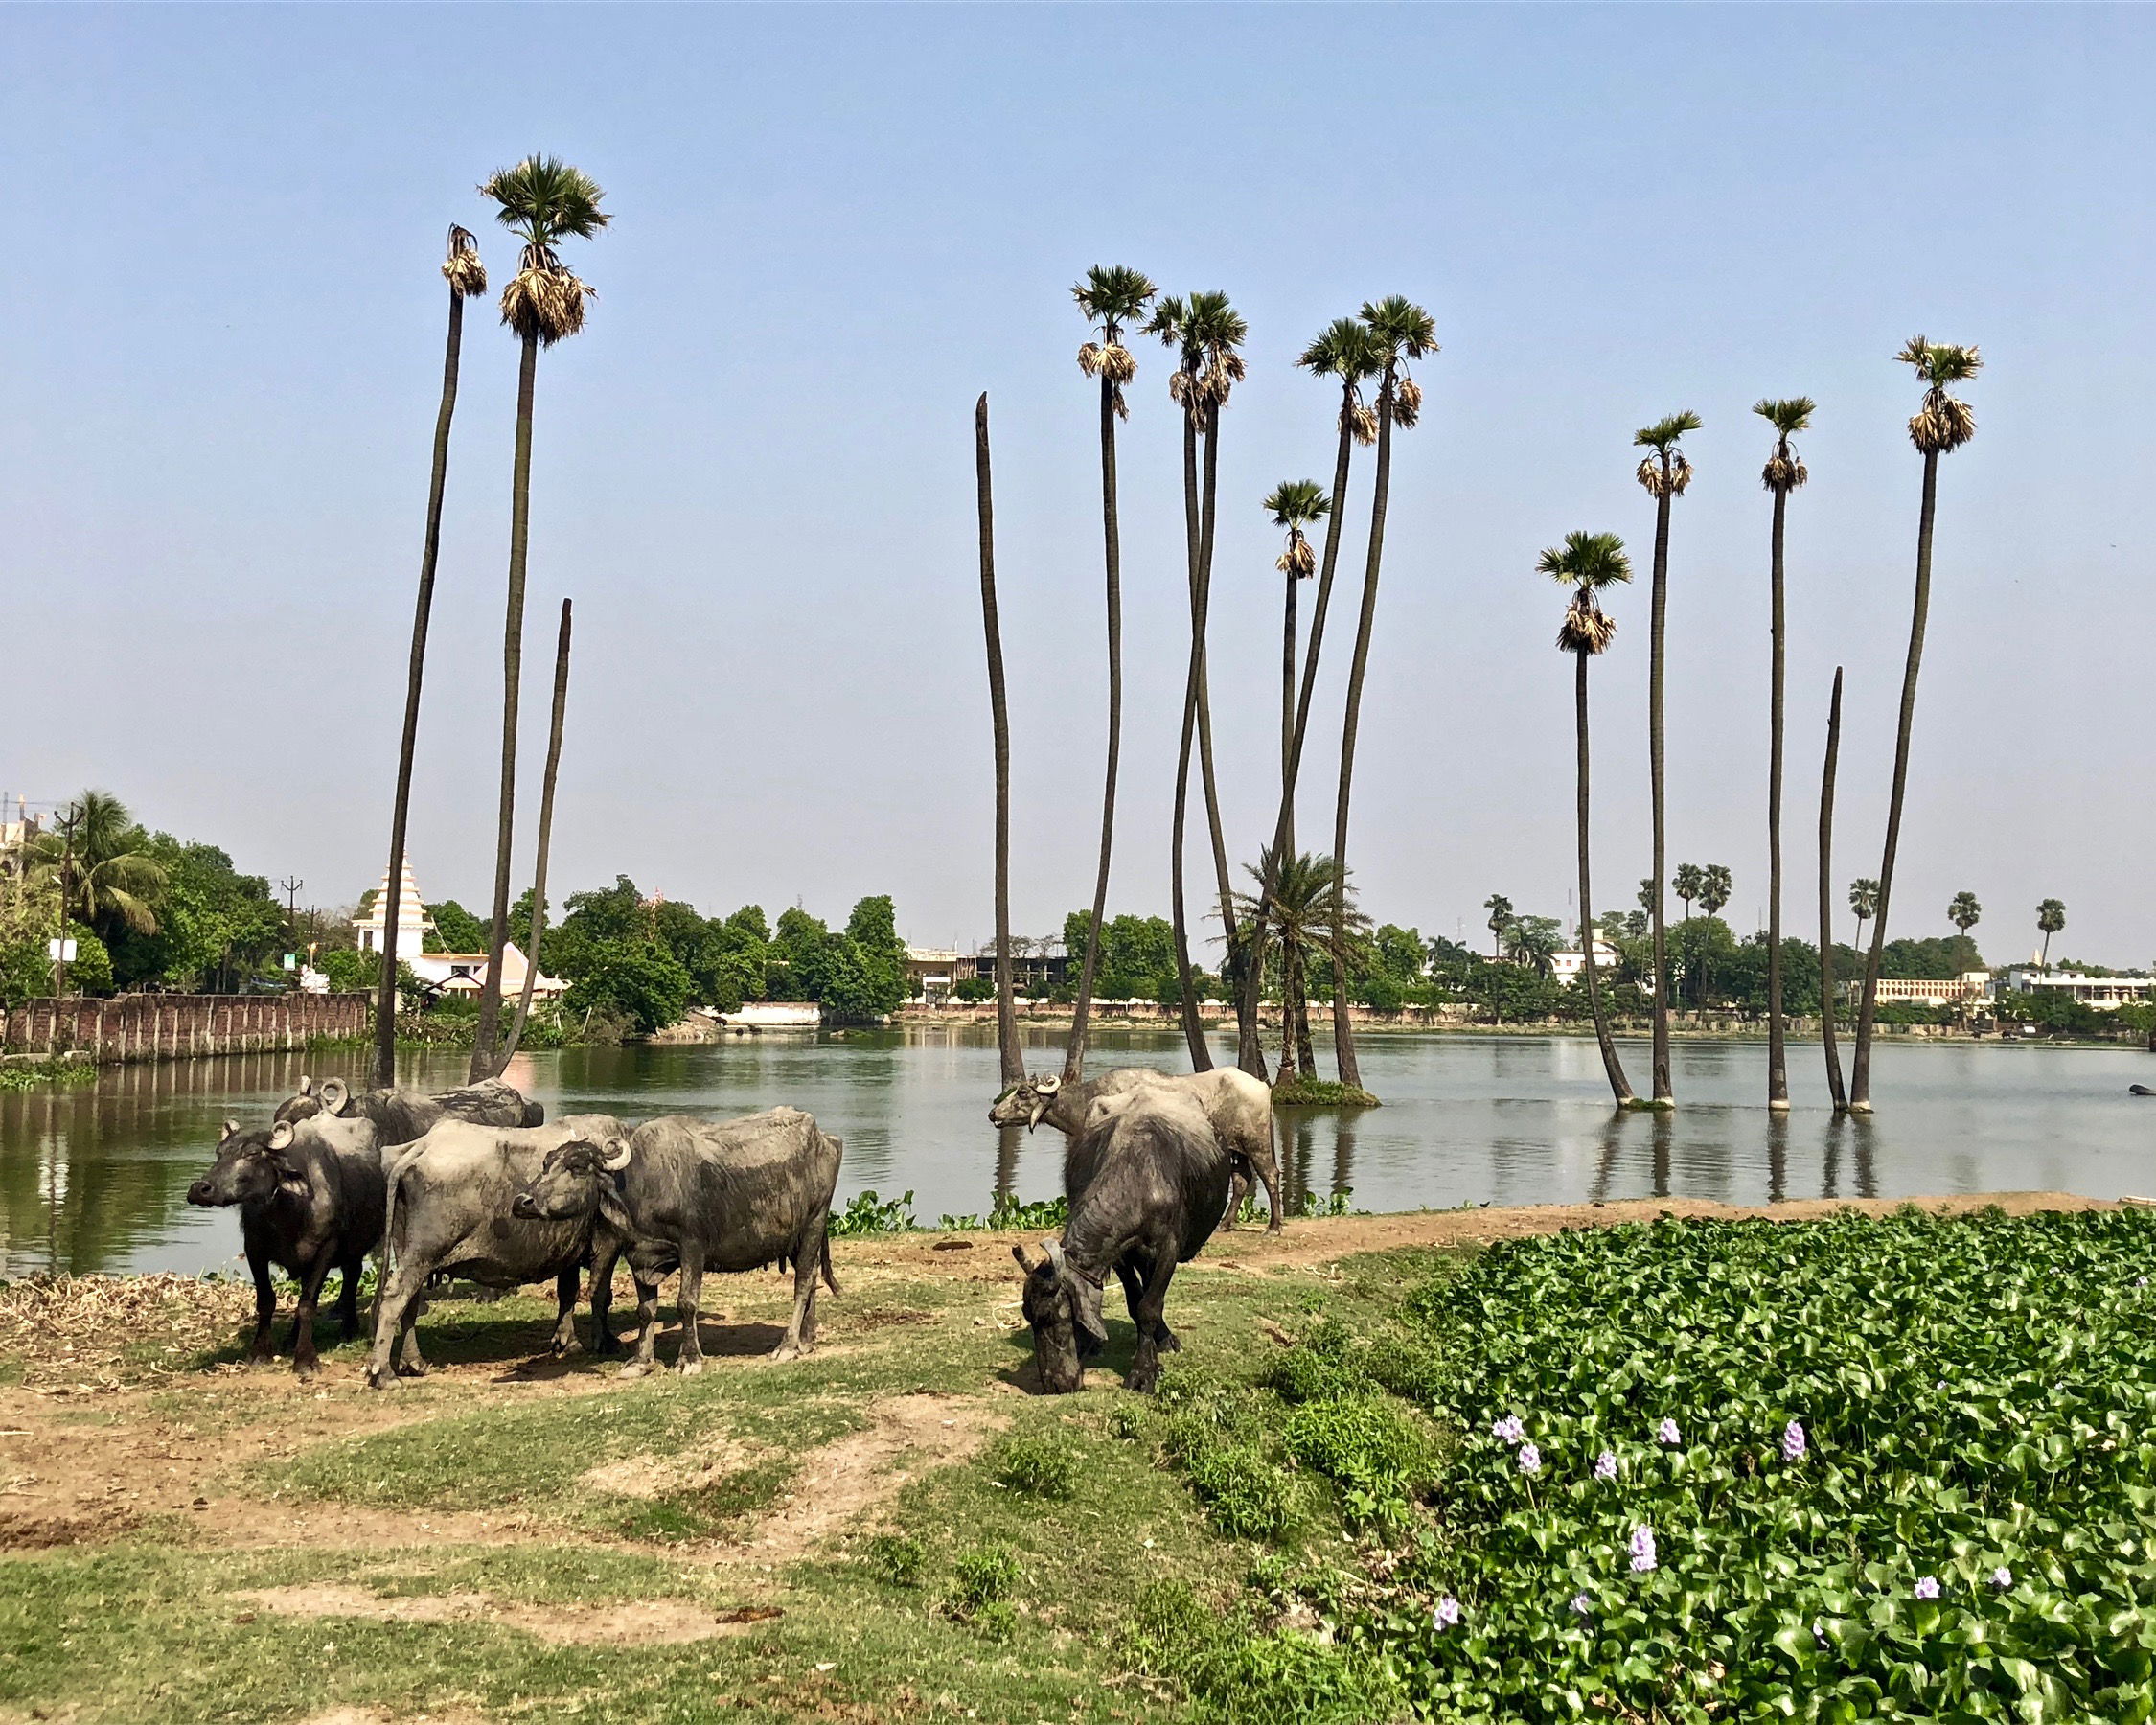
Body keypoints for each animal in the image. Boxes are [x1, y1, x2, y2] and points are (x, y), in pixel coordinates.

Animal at [188, 1113, 388, 1380]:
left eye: (252, 1153)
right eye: (219, 1153)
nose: (200, 1189)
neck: (288, 1213)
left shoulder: (327, 1249)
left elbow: (307, 1305)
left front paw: (305, 1358)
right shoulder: (254, 1248)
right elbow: (266, 1301)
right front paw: (260, 1352)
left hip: (356, 1246)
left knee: (352, 1275)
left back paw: (349, 1327)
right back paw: (292, 1338)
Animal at [364, 1121, 630, 1389]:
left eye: (576, 1167)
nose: (524, 1202)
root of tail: (419, 1148)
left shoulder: (569, 1249)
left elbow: (568, 1292)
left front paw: (567, 1342)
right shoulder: (608, 1244)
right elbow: (600, 1294)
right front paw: (605, 1341)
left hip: (407, 1249)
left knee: (410, 1300)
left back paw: (413, 1362)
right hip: (424, 1251)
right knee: (395, 1297)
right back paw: (383, 1373)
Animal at [511, 1113, 840, 1380]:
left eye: (577, 1167)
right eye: (545, 1164)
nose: (522, 1201)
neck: (644, 1186)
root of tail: (826, 1139)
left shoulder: (693, 1247)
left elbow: (686, 1303)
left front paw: (689, 1359)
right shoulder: (639, 1254)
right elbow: (645, 1311)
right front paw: (640, 1362)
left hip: (814, 1222)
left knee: (802, 1283)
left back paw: (788, 1345)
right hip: (796, 1238)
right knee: (812, 1279)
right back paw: (806, 1340)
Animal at [1009, 1087, 1233, 1397]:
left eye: (1055, 1315)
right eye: (1028, 1316)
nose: (1055, 1383)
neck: (1138, 1176)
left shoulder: (1168, 1248)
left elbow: (1149, 1307)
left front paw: (1143, 1371)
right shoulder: (1119, 1255)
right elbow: (1136, 1300)